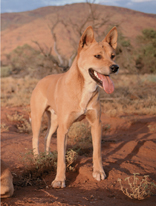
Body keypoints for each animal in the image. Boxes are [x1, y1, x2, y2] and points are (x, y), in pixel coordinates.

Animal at [30, 26, 118, 188]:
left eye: (113, 55)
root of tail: (41, 80)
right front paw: (59, 179)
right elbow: (61, 158)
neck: (84, 87)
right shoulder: (64, 128)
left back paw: (47, 155)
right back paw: (37, 159)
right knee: (35, 139)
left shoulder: (96, 124)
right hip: (38, 118)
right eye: (97, 56)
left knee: (46, 136)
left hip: (55, 121)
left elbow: (97, 151)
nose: (115, 67)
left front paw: (99, 172)